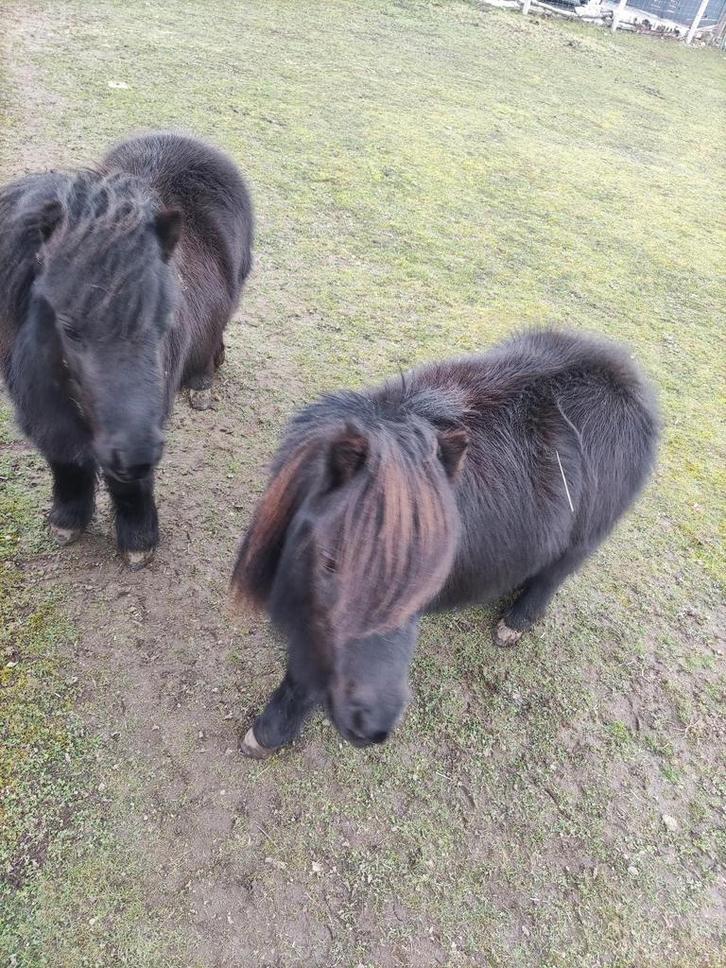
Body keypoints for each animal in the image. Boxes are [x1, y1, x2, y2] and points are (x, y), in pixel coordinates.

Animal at [0, 131, 253, 567]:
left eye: (164, 318)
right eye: (68, 326)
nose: (136, 449)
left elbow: (128, 485)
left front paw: (138, 539)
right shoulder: (43, 412)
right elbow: (65, 461)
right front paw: (67, 520)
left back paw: (201, 385)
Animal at [231, 328, 659, 757]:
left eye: (433, 574)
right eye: (331, 561)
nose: (373, 724)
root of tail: (628, 381)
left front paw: (268, 733)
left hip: (583, 541)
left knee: (552, 578)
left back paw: (514, 624)